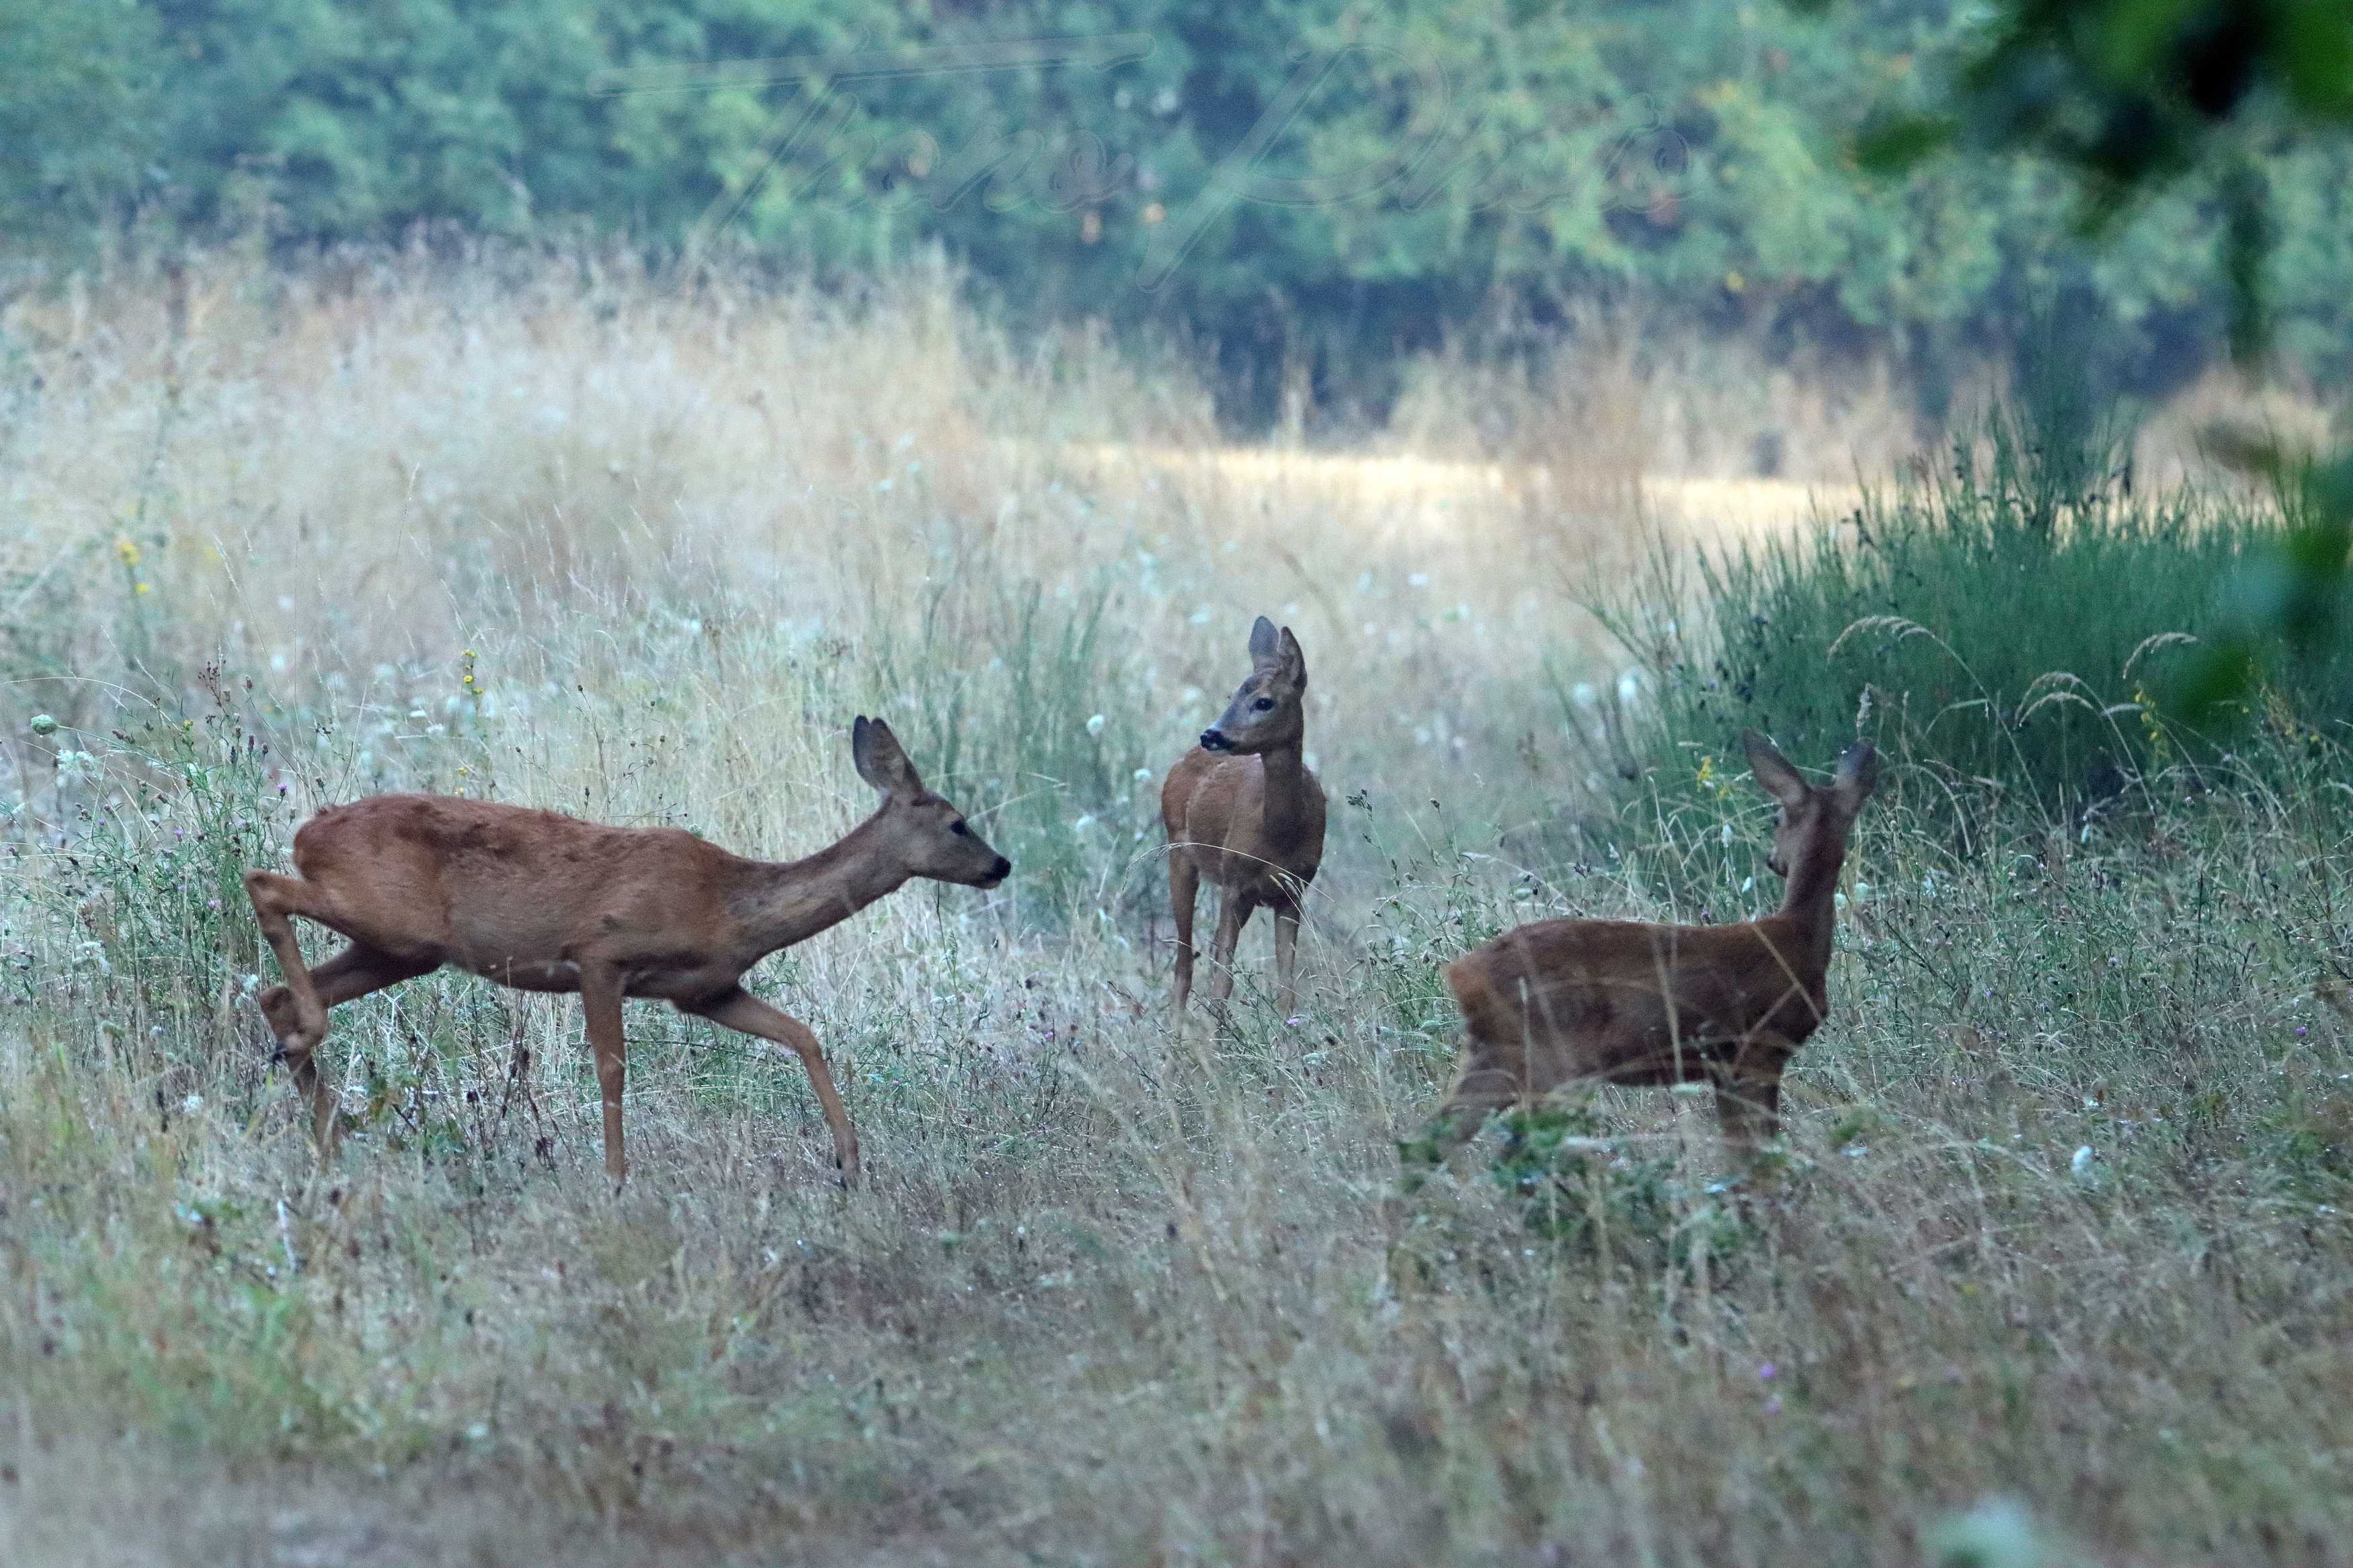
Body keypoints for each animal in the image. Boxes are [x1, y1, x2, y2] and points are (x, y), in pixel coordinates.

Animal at [241, 719, 1002, 1184]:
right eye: (958, 823)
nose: (1003, 864)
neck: (727, 903)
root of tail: (309, 830)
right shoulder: (601, 953)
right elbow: (613, 1072)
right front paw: (615, 1178)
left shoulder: (706, 991)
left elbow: (803, 1034)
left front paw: (848, 1162)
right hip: (389, 917)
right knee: (262, 884)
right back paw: (313, 1068)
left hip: (397, 948)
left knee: (276, 992)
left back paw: (328, 1136)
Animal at [1158, 611, 1327, 1020]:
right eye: (1233, 695)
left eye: (1264, 701)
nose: (1212, 735)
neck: (1280, 834)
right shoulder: (1234, 882)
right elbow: (1223, 982)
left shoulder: (1293, 890)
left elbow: (1287, 987)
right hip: (1179, 854)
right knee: (1184, 965)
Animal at [1402, 729, 1882, 1184]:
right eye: (1776, 816)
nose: (1773, 860)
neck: (1797, 935)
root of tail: (1461, 974)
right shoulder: (1755, 1050)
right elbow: (1755, 1155)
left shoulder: (1725, 1064)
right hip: (1554, 1060)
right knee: (1513, 1152)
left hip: (1500, 1057)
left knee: (1429, 1141)